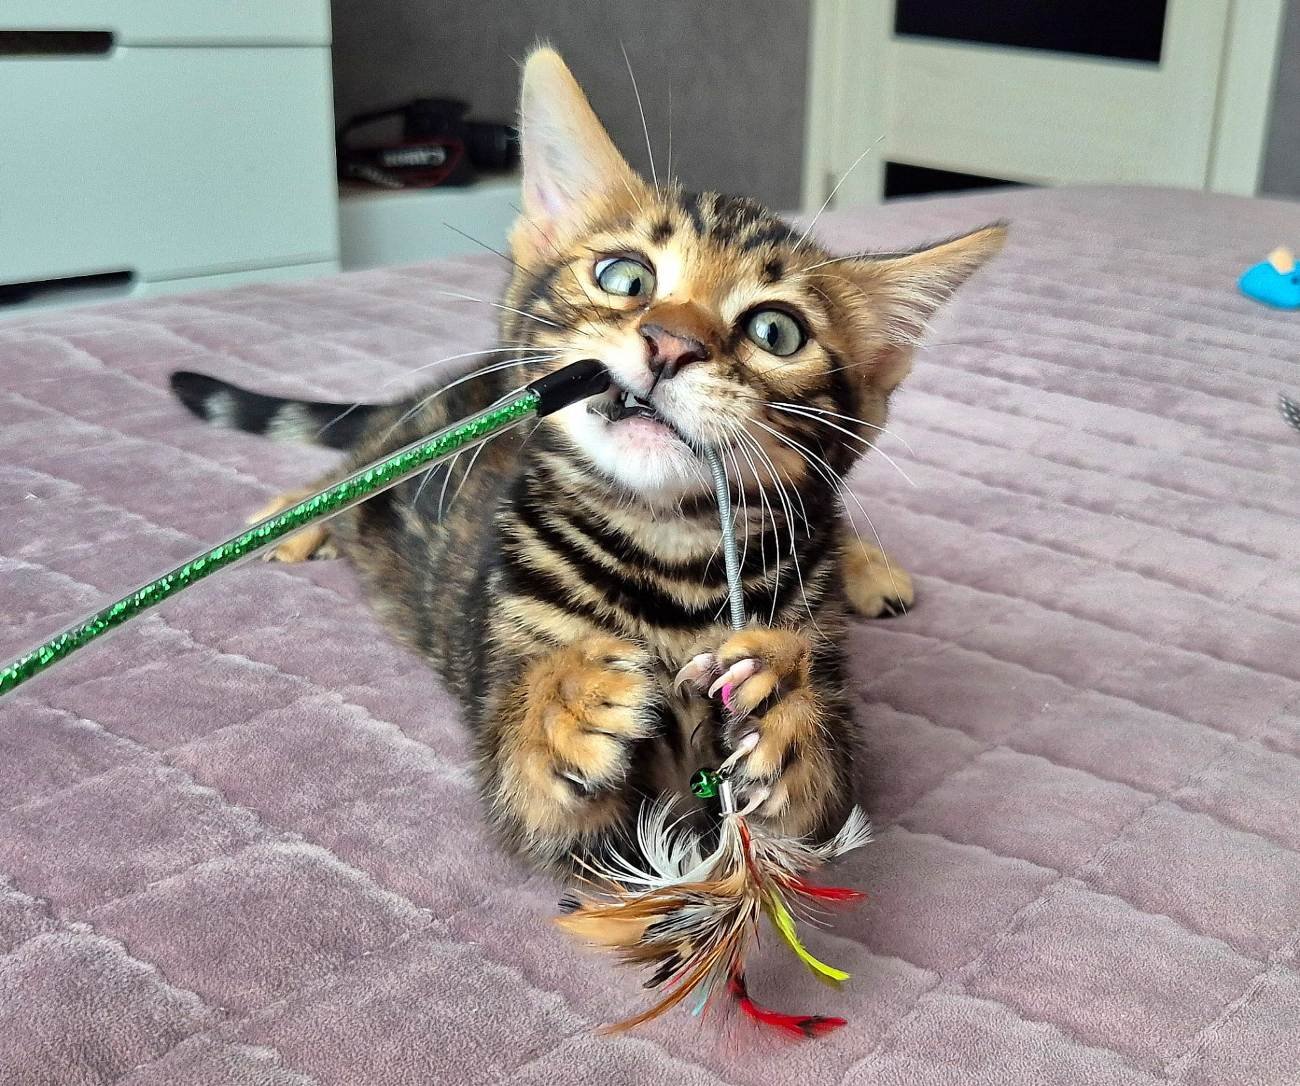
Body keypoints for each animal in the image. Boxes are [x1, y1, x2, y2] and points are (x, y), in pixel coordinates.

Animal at [171, 48, 1005, 872]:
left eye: (777, 331)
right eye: (625, 277)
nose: (671, 342)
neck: (668, 547)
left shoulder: (816, 708)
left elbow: (814, 798)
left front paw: (784, 699)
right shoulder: (509, 703)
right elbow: (542, 789)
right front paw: (567, 696)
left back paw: (868, 566)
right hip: (412, 446)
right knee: (358, 463)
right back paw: (295, 518)